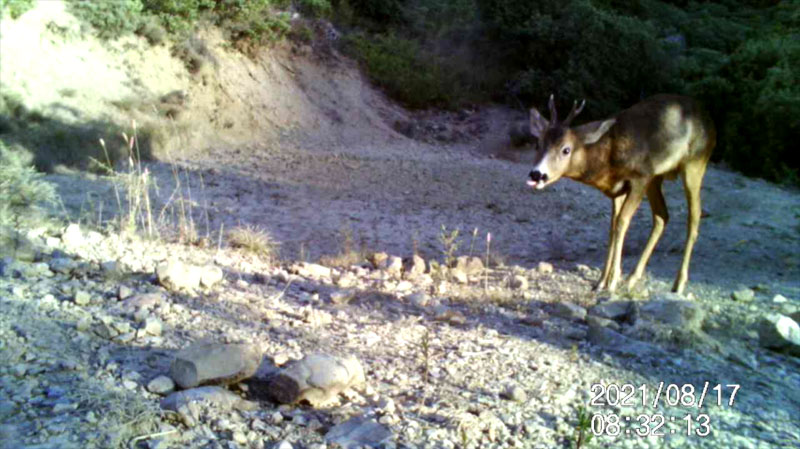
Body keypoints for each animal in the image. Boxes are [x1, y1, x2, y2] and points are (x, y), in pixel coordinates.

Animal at [528, 93, 716, 294]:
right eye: (538, 144)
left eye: (566, 149)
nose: (537, 174)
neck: (608, 156)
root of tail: (709, 122)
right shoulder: (618, 189)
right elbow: (612, 226)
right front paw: (601, 281)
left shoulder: (640, 177)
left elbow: (621, 223)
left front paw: (611, 282)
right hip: (656, 178)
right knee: (662, 216)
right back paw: (632, 278)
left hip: (695, 163)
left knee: (694, 215)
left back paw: (679, 283)